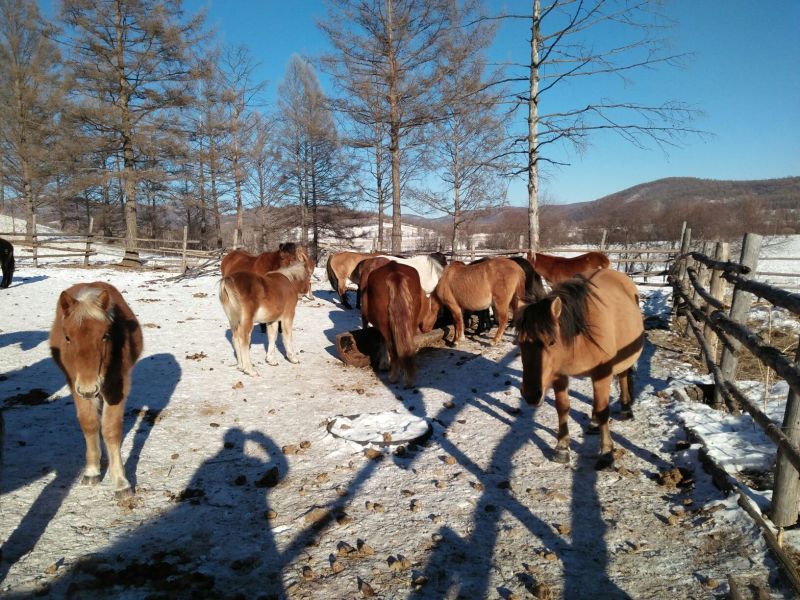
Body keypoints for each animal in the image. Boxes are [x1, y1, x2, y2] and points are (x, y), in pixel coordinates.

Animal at [49, 282, 143, 497]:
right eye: (67, 337)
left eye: (105, 336)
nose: (89, 388)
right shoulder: (75, 383)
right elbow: (90, 423)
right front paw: (92, 471)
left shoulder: (117, 385)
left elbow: (111, 429)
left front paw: (121, 482)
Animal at [514, 268, 644, 470]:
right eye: (520, 342)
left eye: (551, 342)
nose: (531, 395)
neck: (581, 334)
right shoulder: (559, 375)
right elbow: (563, 407)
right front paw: (561, 447)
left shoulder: (602, 374)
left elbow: (603, 410)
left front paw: (606, 452)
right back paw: (593, 422)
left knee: (623, 376)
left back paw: (625, 409)